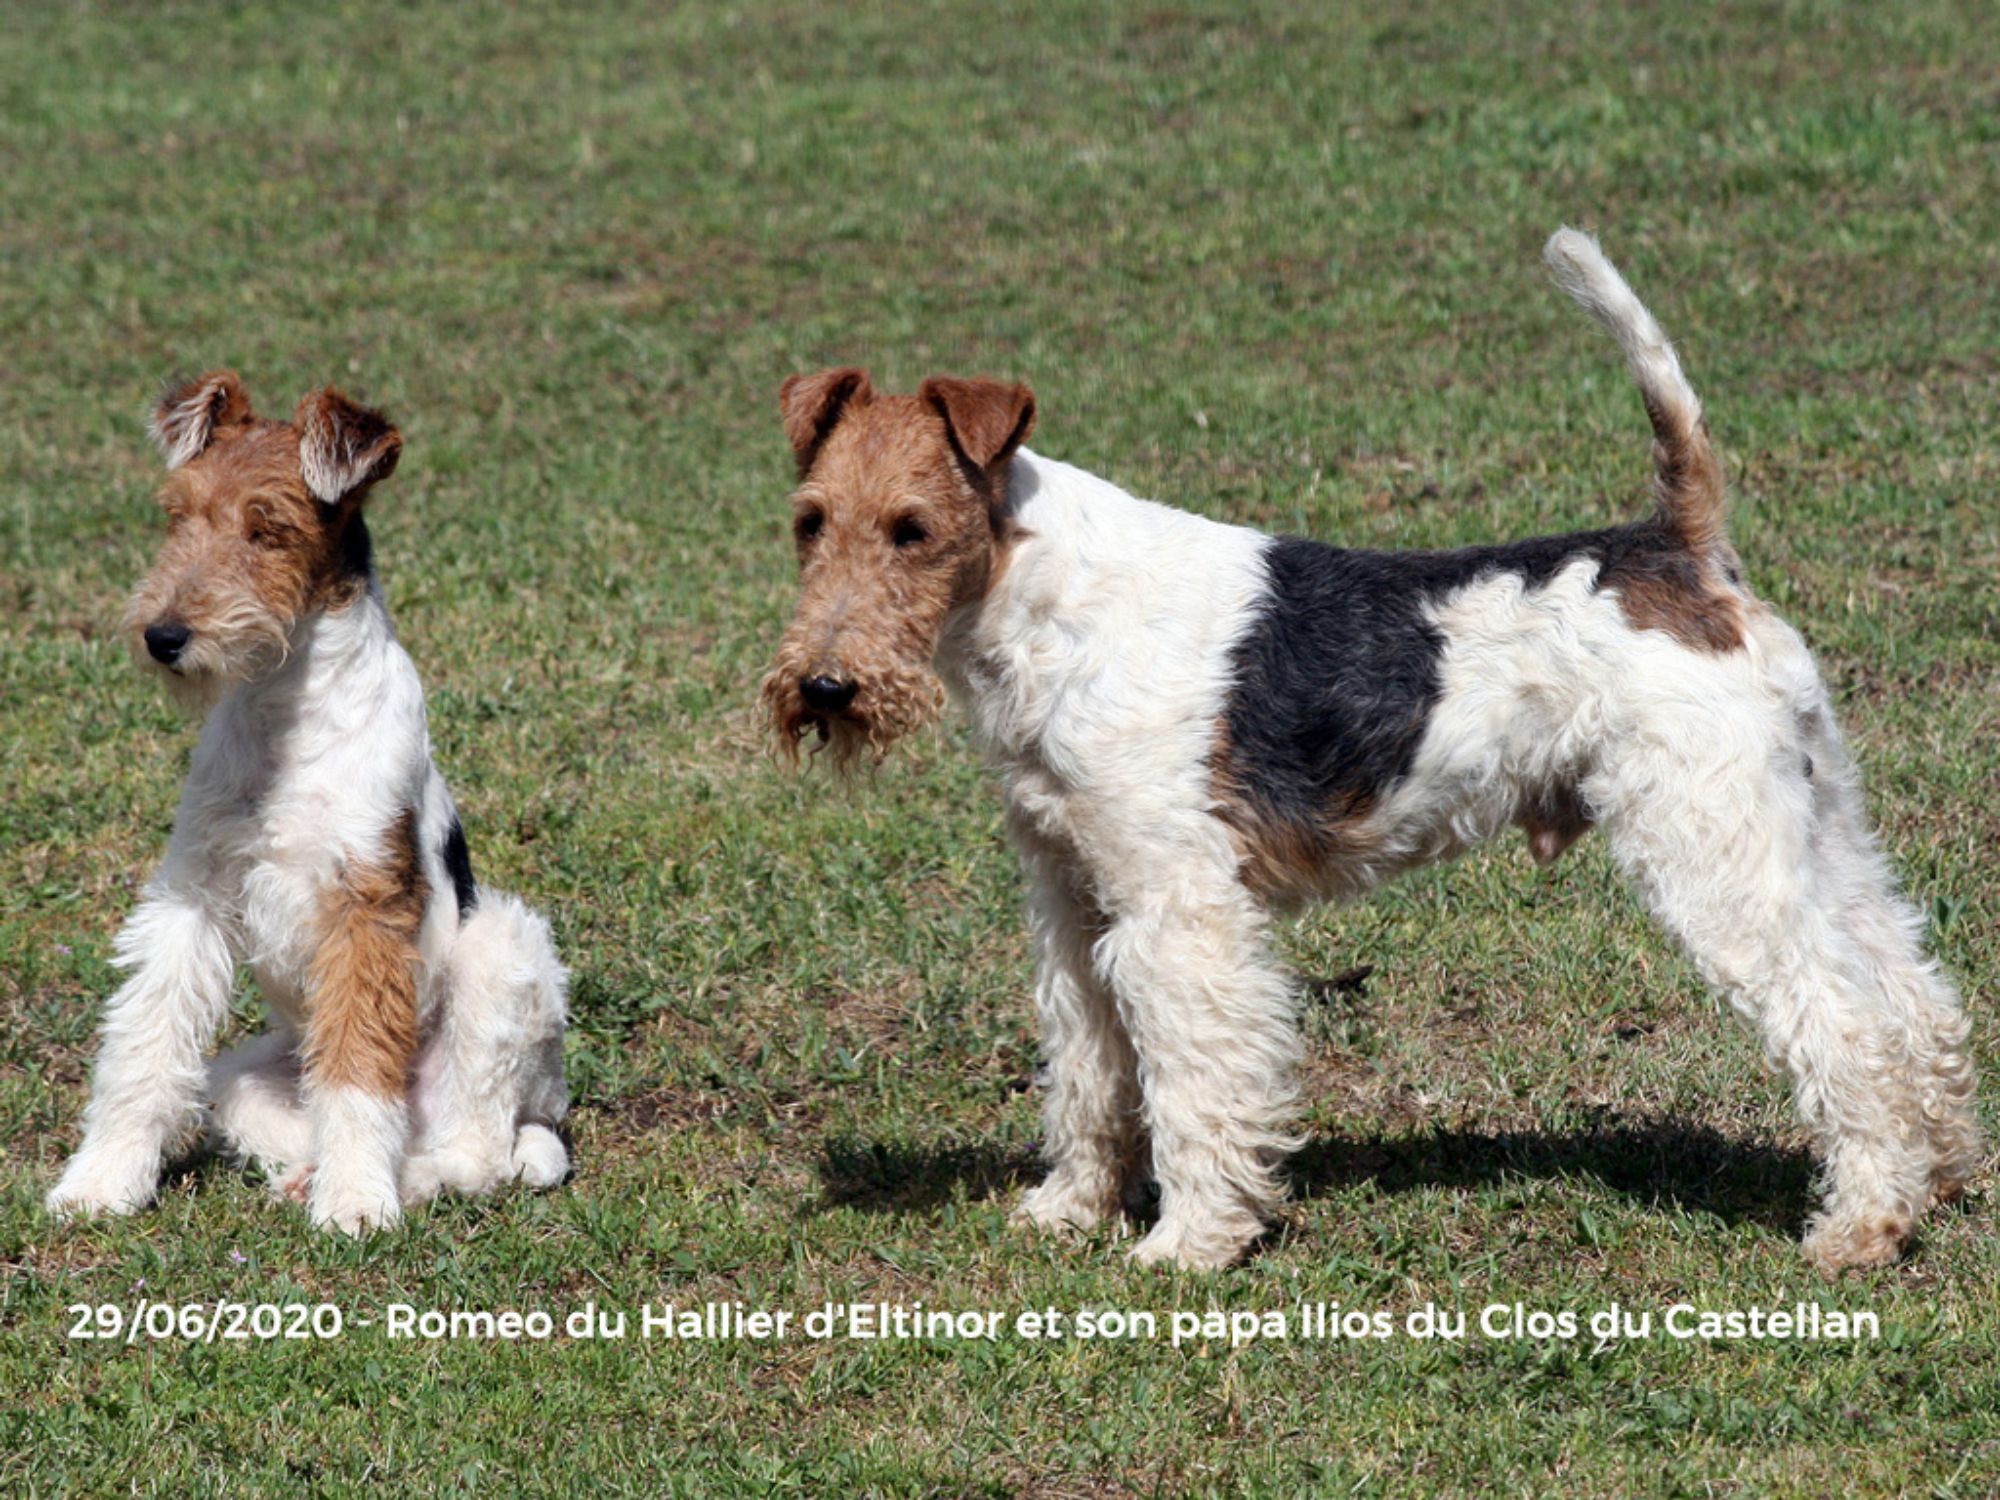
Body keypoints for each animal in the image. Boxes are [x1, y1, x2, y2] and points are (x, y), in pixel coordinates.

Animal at [46, 373, 569, 1234]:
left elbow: (360, 1070)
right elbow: (144, 1046)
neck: (281, 704)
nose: (165, 636)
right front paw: (100, 1183)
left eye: (269, 528)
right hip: (245, 1074)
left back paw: (385, 1183)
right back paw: (305, 1178)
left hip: (502, 952)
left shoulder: (365, 909)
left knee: (475, 1153)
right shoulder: (193, 893)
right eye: (177, 514)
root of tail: (544, 1115)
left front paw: (357, 1207)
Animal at [763, 229, 1980, 1273]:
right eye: (808, 520)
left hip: (1711, 846)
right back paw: (1945, 1172)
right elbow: (1088, 1069)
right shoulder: (1071, 891)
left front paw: (1189, 1243)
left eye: (914, 529)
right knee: (1912, 995)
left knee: (1846, 1023)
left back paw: (1862, 1224)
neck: (1042, 600)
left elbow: (1190, 1079)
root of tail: (1681, 549)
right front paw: (1068, 1211)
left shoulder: (1176, 907)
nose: (823, 687)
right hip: (1813, 825)